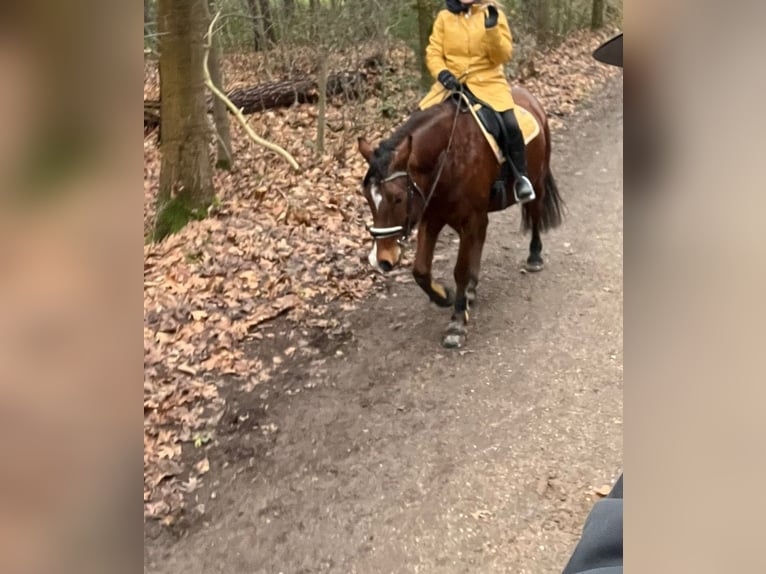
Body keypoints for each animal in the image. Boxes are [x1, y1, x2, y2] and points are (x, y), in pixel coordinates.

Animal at [358, 83, 564, 348]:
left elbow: (460, 270)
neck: (449, 156)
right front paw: (445, 296)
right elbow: (421, 270)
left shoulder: (468, 219)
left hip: (536, 183)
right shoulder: (432, 218)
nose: (381, 259)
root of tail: (530, 98)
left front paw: (456, 322)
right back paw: (471, 291)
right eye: (367, 197)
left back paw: (534, 256)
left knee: (535, 215)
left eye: (398, 198)